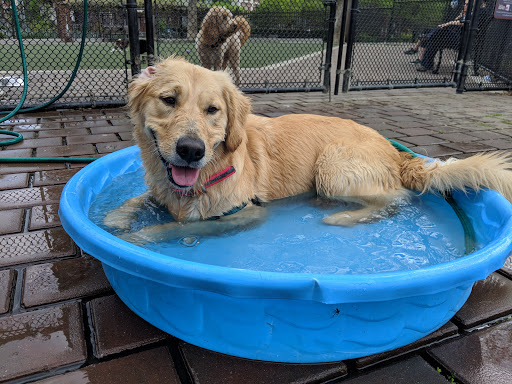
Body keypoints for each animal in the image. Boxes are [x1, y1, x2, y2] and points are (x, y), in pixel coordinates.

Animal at [105, 57, 512, 238]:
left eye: (212, 110)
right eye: (169, 100)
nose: (191, 150)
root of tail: (396, 151)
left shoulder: (246, 214)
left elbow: (171, 230)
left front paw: (137, 238)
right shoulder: (162, 189)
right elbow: (141, 197)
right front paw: (117, 218)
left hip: (332, 167)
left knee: (394, 199)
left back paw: (341, 217)